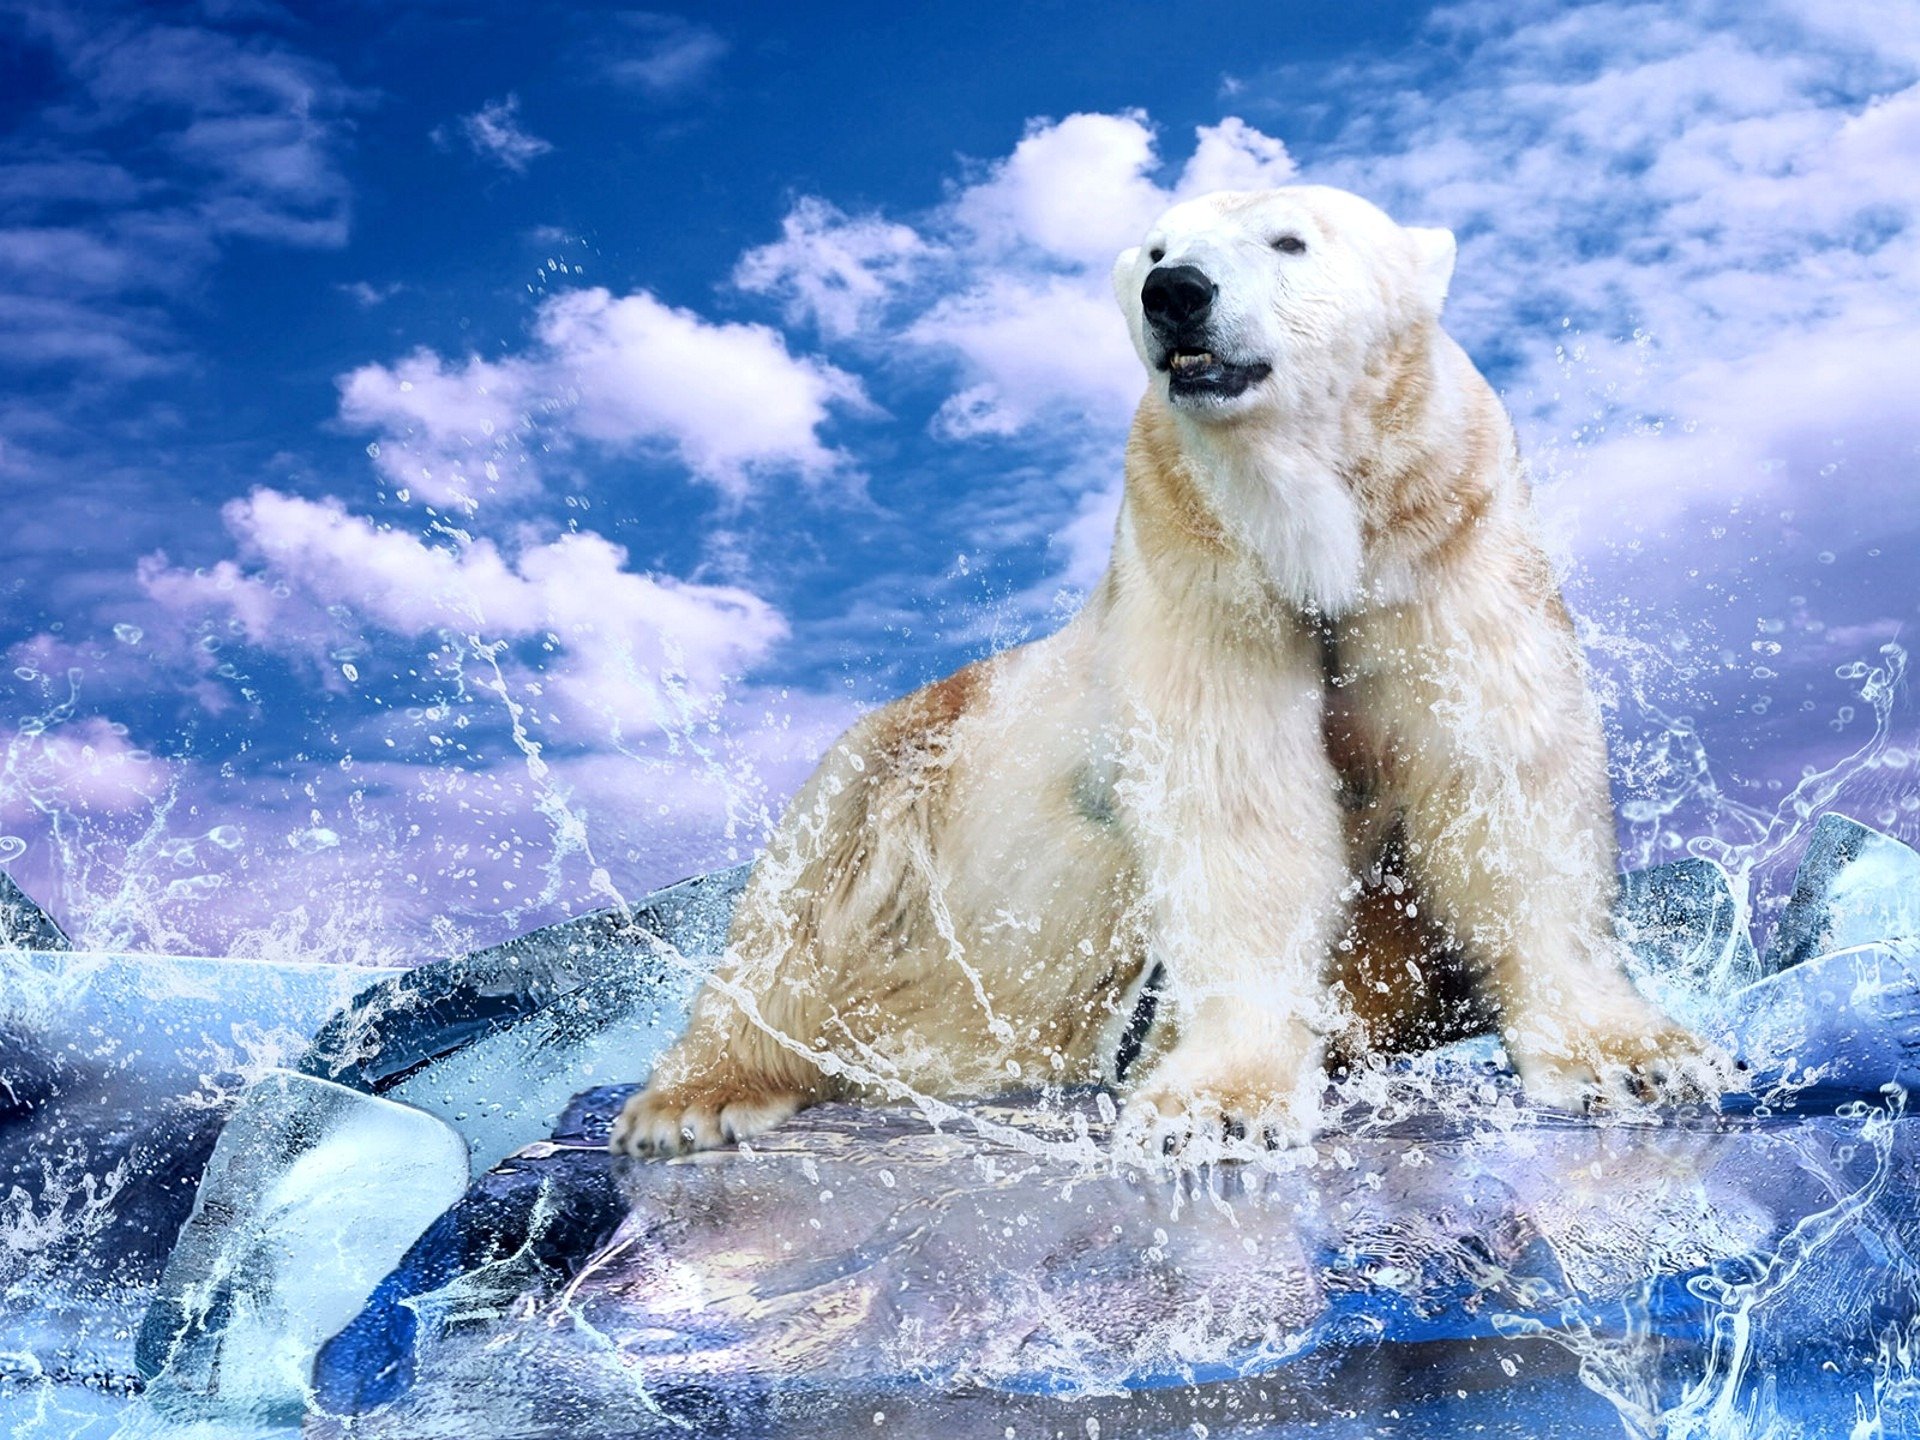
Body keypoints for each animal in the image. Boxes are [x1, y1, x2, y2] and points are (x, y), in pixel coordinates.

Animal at [609, 183, 1733, 1162]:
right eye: (1153, 249)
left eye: (1289, 240)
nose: (1176, 292)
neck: (1306, 537)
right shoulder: (1197, 565)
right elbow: (1233, 801)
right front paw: (1218, 1108)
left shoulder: (1444, 533)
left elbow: (1499, 768)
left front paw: (1636, 1061)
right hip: (892, 769)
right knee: (794, 912)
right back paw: (697, 1100)